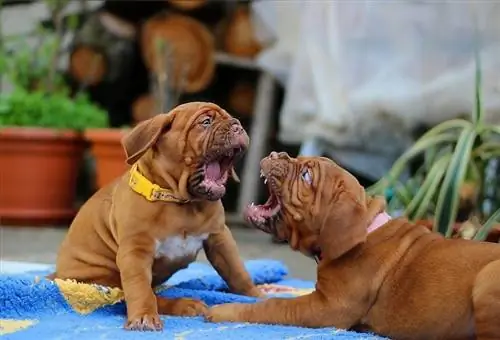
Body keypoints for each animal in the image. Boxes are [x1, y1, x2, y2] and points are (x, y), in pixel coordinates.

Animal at [53, 102, 264, 330]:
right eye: (206, 122)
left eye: (232, 118)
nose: (237, 125)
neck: (181, 201)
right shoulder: (135, 251)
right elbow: (140, 289)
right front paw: (143, 316)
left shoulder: (220, 238)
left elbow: (237, 271)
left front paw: (257, 295)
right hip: (102, 279)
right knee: (134, 296)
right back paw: (184, 304)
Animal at [206, 152, 500, 340]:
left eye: (306, 175)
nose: (276, 152)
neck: (365, 230)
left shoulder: (327, 308)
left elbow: (273, 306)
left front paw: (224, 311)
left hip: (488, 277)